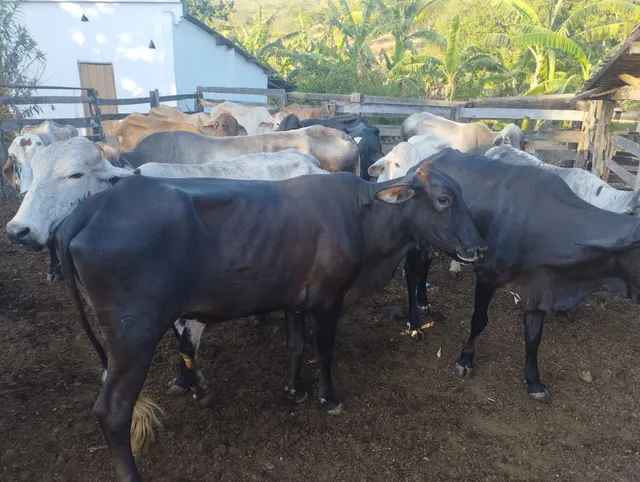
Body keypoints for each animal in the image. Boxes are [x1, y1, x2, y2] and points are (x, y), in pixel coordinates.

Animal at [8, 160, 485, 481]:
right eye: (444, 199)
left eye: (464, 196)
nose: (478, 247)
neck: (364, 220)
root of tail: (90, 209)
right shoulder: (327, 299)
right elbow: (324, 351)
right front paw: (328, 397)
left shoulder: (296, 298)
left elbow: (296, 345)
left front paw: (295, 390)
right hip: (133, 336)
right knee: (112, 410)